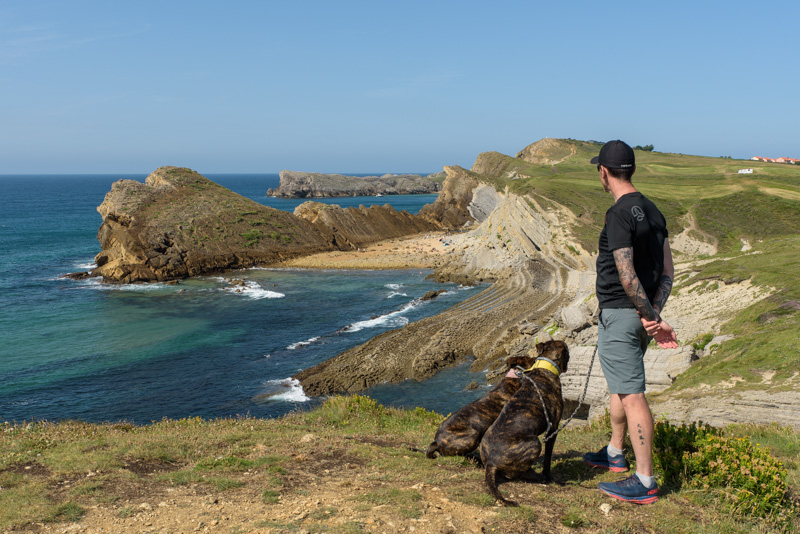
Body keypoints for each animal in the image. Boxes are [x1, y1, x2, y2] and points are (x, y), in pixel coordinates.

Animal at [482, 342, 568, 508]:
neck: (545, 369)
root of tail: (491, 463)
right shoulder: (553, 428)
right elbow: (547, 459)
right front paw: (549, 477)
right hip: (534, 443)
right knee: (518, 474)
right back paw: (538, 477)